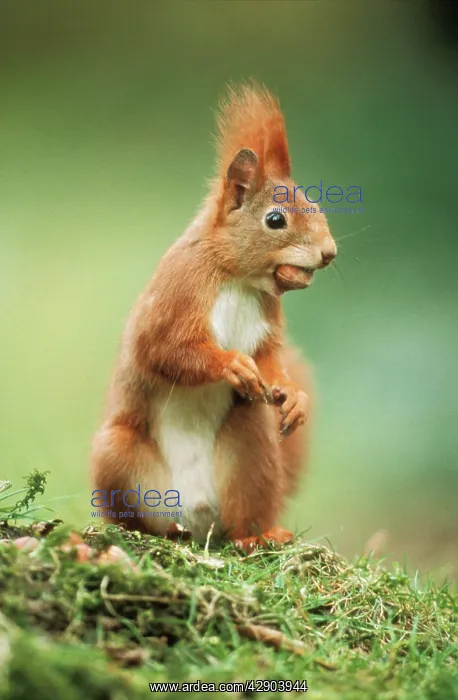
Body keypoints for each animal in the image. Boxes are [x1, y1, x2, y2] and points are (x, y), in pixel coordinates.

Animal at [90, 83, 337, 551]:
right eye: (274, 219)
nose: (330, 253)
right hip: (117, 455)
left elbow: (270, 360)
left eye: (316, 203)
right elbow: (163, 351)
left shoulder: (267, 322)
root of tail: (199, 521)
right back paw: (150, 530)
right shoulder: (177, 294)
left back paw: (260, 535)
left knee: (246, 513)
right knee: (136, 516)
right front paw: (230, 365)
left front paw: (294, 396)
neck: (237, 278)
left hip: (251, 443)